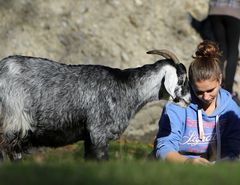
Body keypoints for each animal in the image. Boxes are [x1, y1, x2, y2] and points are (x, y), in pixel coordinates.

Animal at [0, 49, 190, 161]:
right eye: (182, 79)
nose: (189, 99)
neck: (128, 87)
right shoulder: (99, 133)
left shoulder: (88, 139)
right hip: (14, 121)